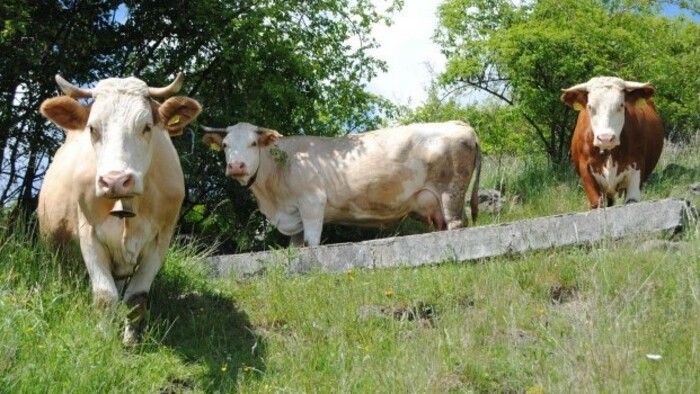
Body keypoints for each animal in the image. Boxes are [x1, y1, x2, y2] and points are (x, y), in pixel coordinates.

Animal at [38, 74, 201, 344]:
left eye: (146, 126)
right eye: (92, 128)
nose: (115, 180)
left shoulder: (161, 240)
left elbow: (136, 298)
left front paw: (130, 342)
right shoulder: (89, 235)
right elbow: (105, 296)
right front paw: (103, 341)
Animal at [200, 120, 478, 245]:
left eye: (253, 143)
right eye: (225, 146)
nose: (236, 166)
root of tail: (458, 123)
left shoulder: (312, 202)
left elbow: (311, 244)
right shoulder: (293, 215)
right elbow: (296, 247)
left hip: (451, 193)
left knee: (456, 224)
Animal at [560, 75, 664, 208]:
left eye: (621, 105)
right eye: (590, 107)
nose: (606, 138)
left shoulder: (637, 168)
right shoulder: (586, 171)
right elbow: (596, 203)